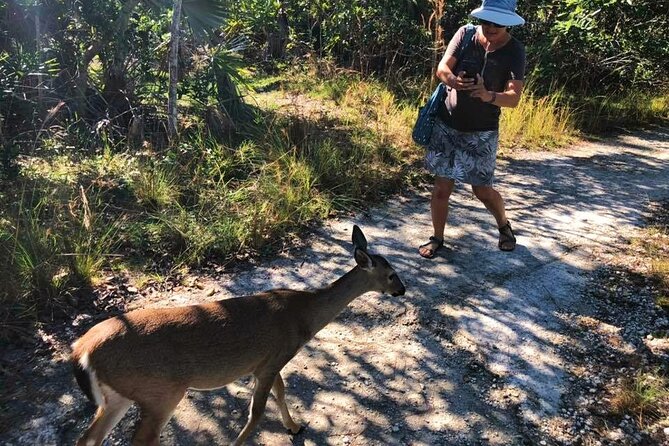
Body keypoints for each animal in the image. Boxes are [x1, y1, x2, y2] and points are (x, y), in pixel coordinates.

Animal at [70, 226, 404, 446]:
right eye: (391, 275)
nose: (402, 289)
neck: (303, 315)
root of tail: (81, 350)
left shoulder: (266, 363)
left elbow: (281, 392)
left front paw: (294, 427)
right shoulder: (274, 358)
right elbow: (256, 413)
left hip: (118, 395)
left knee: (88, 439)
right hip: (160, 392)